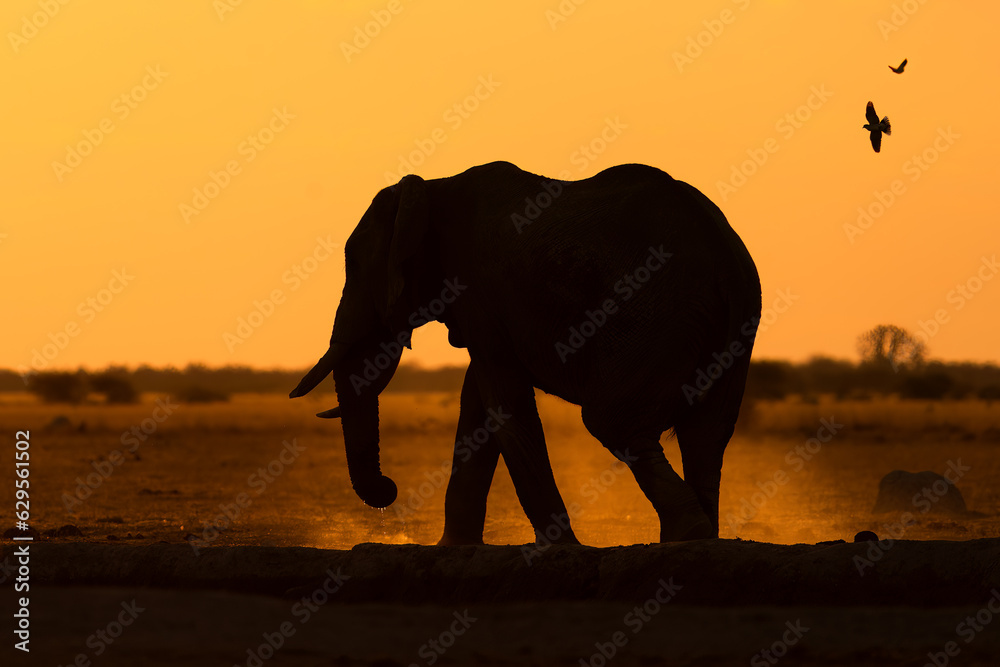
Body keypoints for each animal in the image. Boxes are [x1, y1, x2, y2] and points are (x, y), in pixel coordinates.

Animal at [290, 161, 762, 545]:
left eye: (356, 266)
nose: (389, 489)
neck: (433, 187)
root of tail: (727, 254)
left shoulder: (478, 286)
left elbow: (503, 400)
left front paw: (562, 549)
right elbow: (479, 399)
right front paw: (453, 549)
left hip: (654, 312)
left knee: (614, 423)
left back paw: (689, 532)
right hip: (728, 327)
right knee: (706, 435)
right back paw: (696, 537)